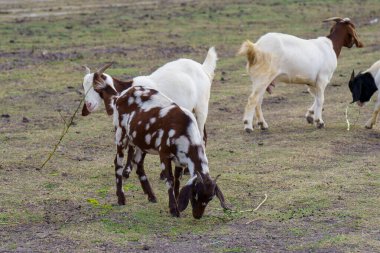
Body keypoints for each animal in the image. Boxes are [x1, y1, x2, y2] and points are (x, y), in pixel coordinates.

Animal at [92, 80, 229, 217]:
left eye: (210, 198)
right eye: (194, 194)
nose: (197, 216)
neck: (183, 129)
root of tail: (120, 95)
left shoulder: (179, 160)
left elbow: (177, 180)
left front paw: (177, 201)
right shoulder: (164, 154)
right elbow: (170, 180)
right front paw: (173, 209)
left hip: (141, 143)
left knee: (138, 163)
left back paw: (151, 196)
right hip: (121, 135)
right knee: (118, 164)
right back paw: (121, 198)